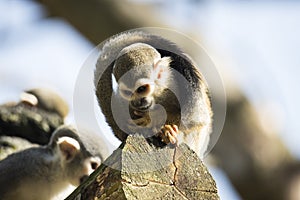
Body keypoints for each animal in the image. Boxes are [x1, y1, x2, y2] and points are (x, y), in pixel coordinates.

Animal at [95, 30, 212, 158]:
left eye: (141, 89)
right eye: (128, 92)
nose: (137, 102)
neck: (158, 92)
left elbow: (196, 120)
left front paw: (154, 121)